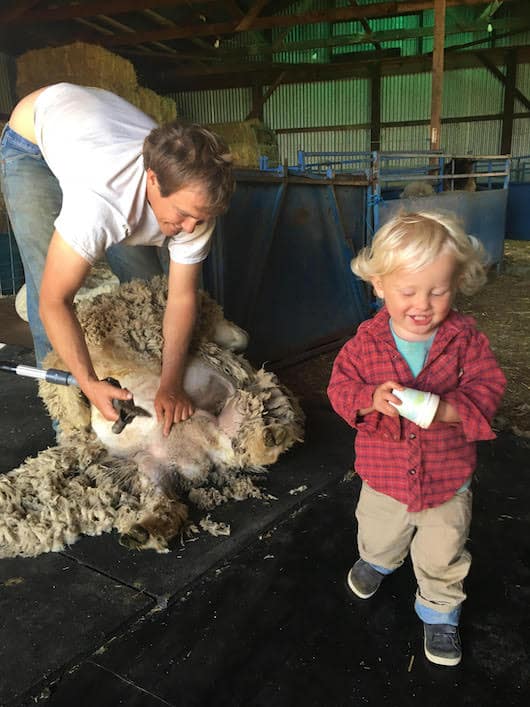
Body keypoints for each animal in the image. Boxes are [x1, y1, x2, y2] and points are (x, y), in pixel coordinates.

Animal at [0, 277, 304, 558]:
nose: (244, 335)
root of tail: (202, 462)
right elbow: (59, 382)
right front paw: (80, 415)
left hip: (200, 431)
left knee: (239, 445)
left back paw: (269, 438)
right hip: (152, 466)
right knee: (170, 503)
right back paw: (143, 531)